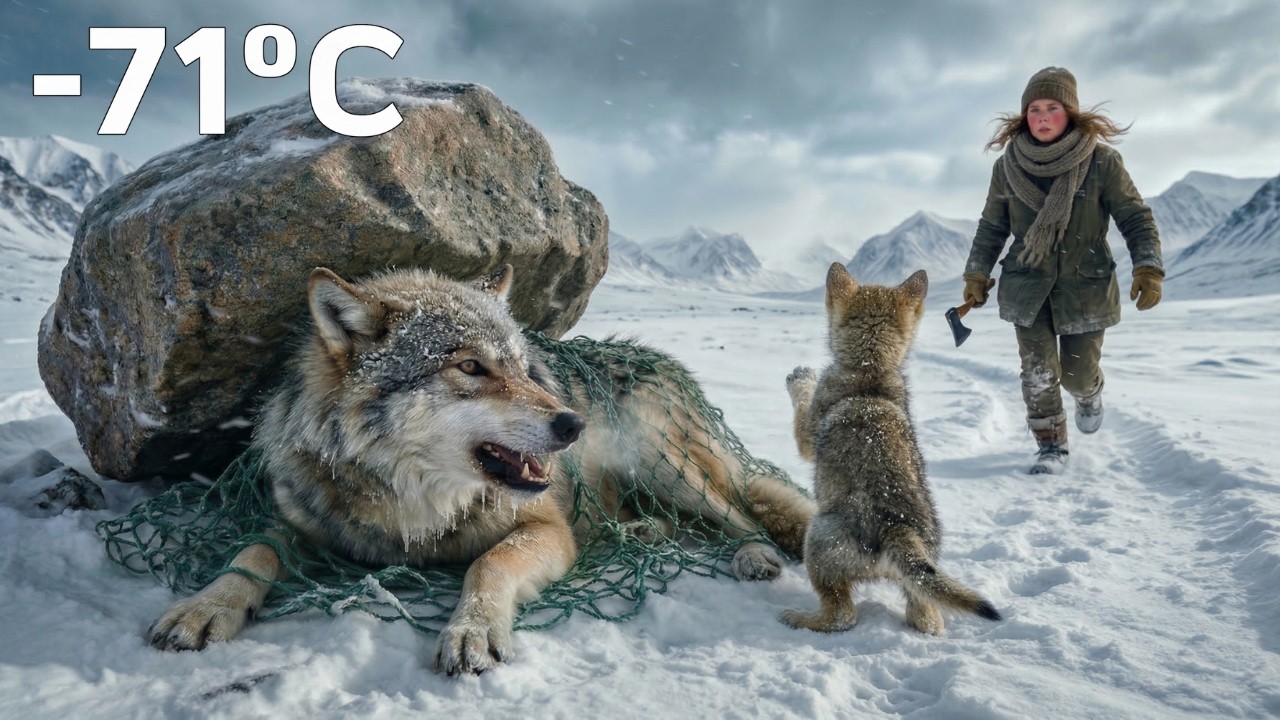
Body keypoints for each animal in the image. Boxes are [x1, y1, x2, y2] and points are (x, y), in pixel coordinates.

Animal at [146, 264, 815, 675]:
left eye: (522, 365)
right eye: (470, 367)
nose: (573, 423)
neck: (415, 507)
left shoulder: (545, 528)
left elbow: (489, 563)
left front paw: (471, 631)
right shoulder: (303, 523)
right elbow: (252, 552)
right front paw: (203, 608)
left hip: (668, 465)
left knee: (742, 512)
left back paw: (753, 556)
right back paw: (642, 532)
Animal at [779, 263, 1000, 635]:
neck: (871, 370)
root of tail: (899, 528)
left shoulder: (806, 437)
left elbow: (802, 402)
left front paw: (800, 378)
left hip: (816, 539)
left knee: (843, 615)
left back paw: (799, 618)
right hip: (921, 585)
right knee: (928, 618)